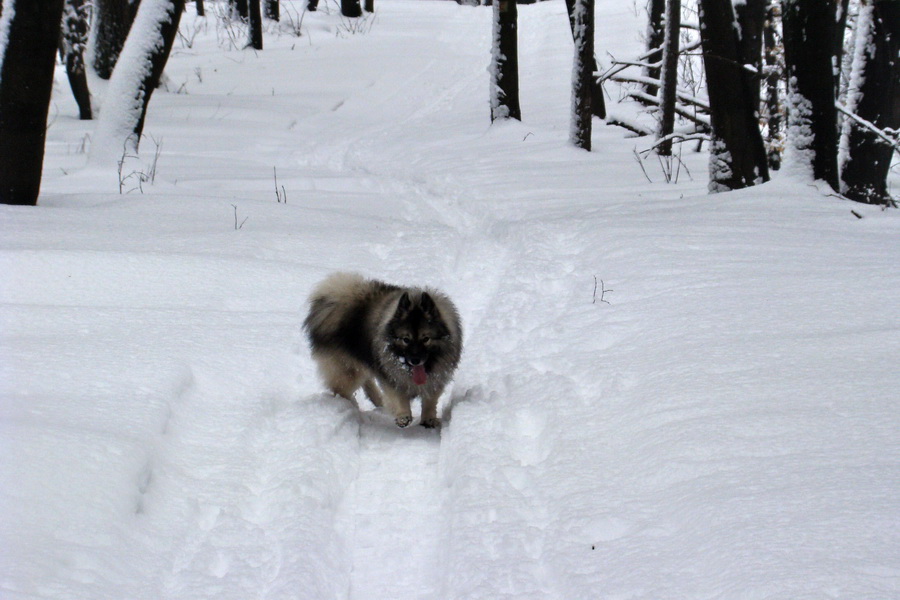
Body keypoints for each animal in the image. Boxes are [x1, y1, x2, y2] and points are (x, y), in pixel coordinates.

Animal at [306, 272, 464, 426]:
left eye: (426, 339)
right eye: (405, 339)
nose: (415, 360)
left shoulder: (437, 378)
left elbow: (430, 400)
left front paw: (429, 418)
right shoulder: (390, 375)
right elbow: (398, 396)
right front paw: (403, 416)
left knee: (366, 380)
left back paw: (378, 401)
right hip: (347, 371)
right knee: (341, 389)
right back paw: (350, 406)